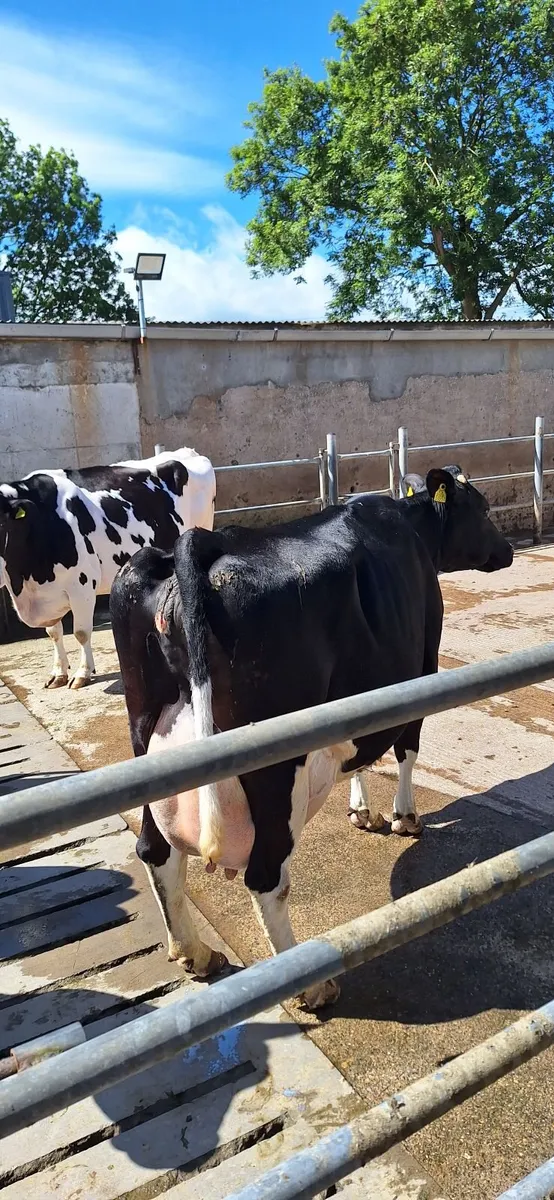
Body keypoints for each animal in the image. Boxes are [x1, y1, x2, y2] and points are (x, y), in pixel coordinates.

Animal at [0, 448, 215, 690]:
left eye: (0, 523)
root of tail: (187, 452)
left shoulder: (81, 585)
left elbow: (81, 632)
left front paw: (82, 673)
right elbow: (53, 632)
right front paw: (59, 672)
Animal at [110, 466, 513, 1009]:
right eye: (483, 508)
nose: (507, 550)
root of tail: (202, 542)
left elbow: (361, 755)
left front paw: (362, 811)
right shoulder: (422, 669)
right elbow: (406, 749)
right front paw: (405, 818)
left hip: (145, 740)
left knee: (156, 849)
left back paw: (195, 953)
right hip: (275, 768)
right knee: (266, 877)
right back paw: (311, 986)